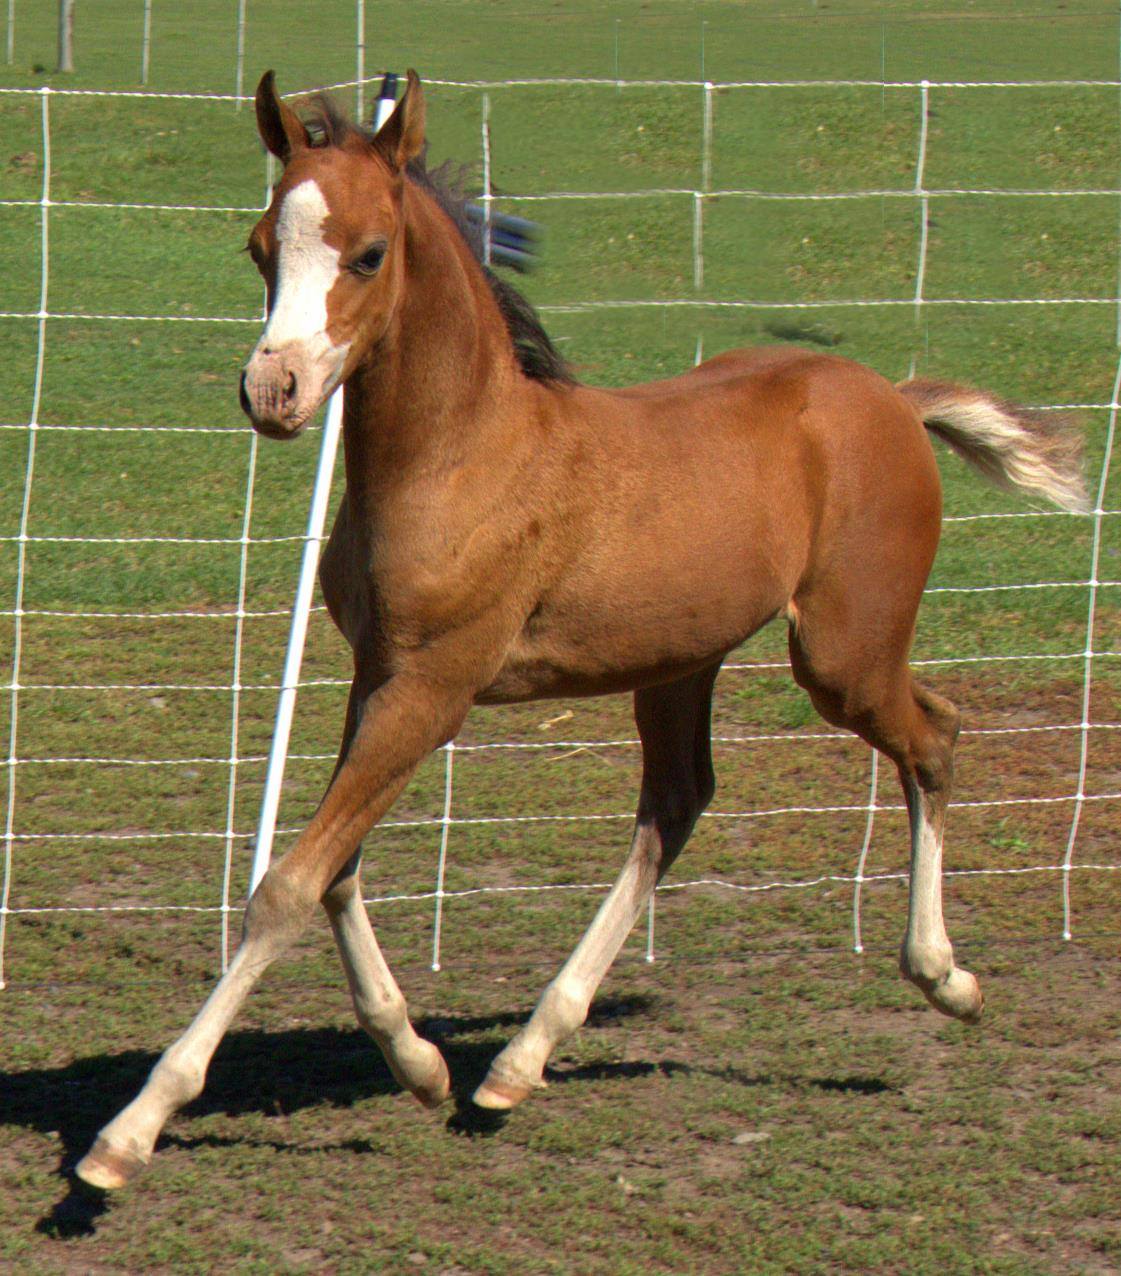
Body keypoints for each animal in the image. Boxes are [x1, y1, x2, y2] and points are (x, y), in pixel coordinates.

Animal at [76, 69, 1086, 1184]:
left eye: (369, 253)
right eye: (261, 247)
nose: (273, 390)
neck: (459, 456)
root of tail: (895, 400)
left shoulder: (432, 690)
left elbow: (290, 884)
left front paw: (130, 1130)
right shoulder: (377, 674)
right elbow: (336, 869)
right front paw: (418, 1063)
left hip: (840, 654)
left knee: (932, 736)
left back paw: (944, 977)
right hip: (680, 661)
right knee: (676, 804)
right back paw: (515, 1062)